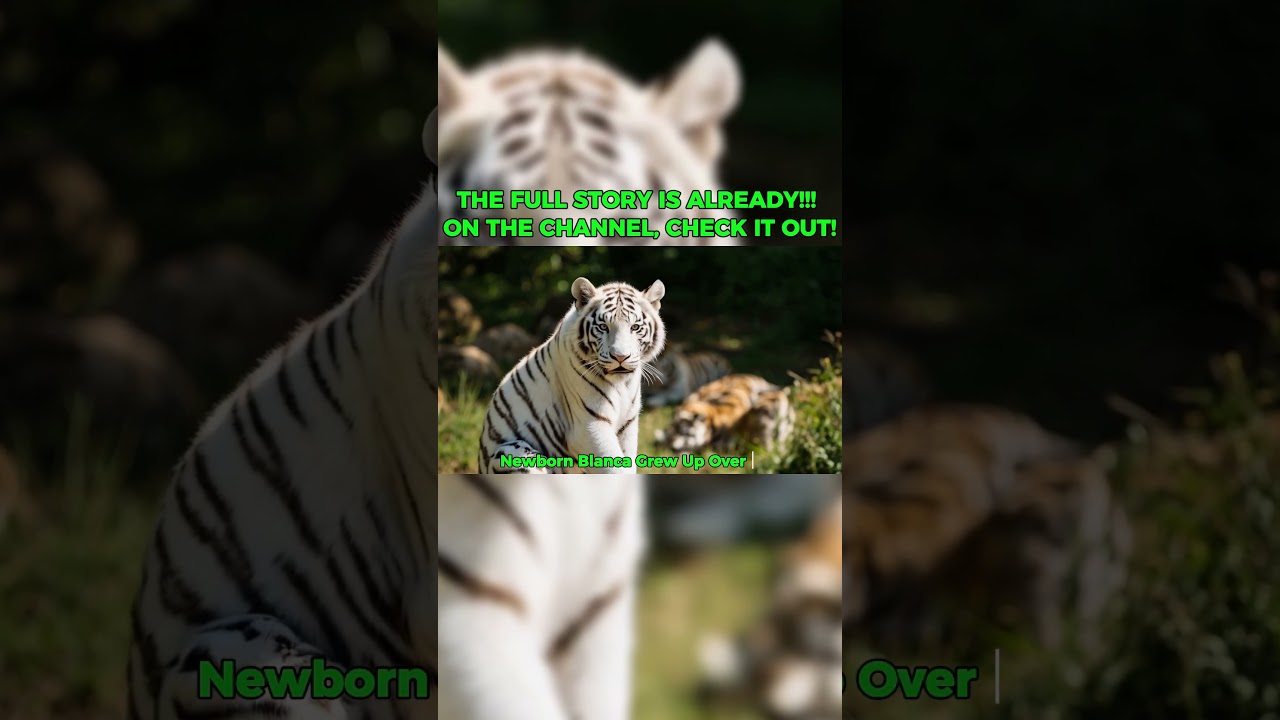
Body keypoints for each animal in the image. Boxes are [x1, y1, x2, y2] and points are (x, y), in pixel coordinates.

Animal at [477, 277, 666, 474]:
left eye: (635, 327)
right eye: (603, 327)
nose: (620, 357)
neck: (622, 384)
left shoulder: (628, 425)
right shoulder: (589, 427)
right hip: (511, 451)